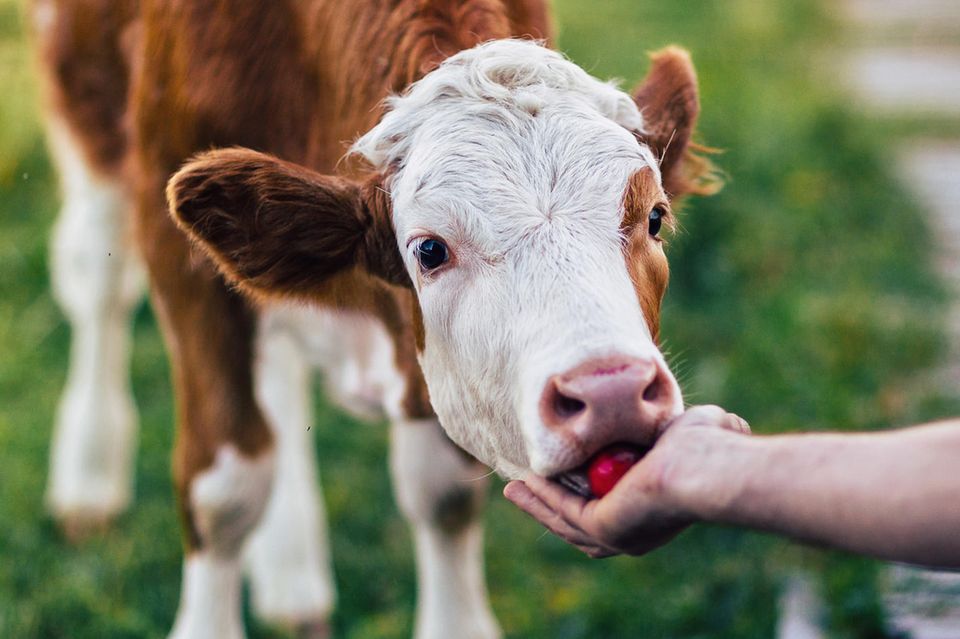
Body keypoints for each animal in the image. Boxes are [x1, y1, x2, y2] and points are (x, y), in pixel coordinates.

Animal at [35, 0, 712, 636]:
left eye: (654, 217)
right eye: (429, 250)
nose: (612, 391)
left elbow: (442, 493)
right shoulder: (179, 247)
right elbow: (224, 491)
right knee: (98, 281)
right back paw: (89, 481)